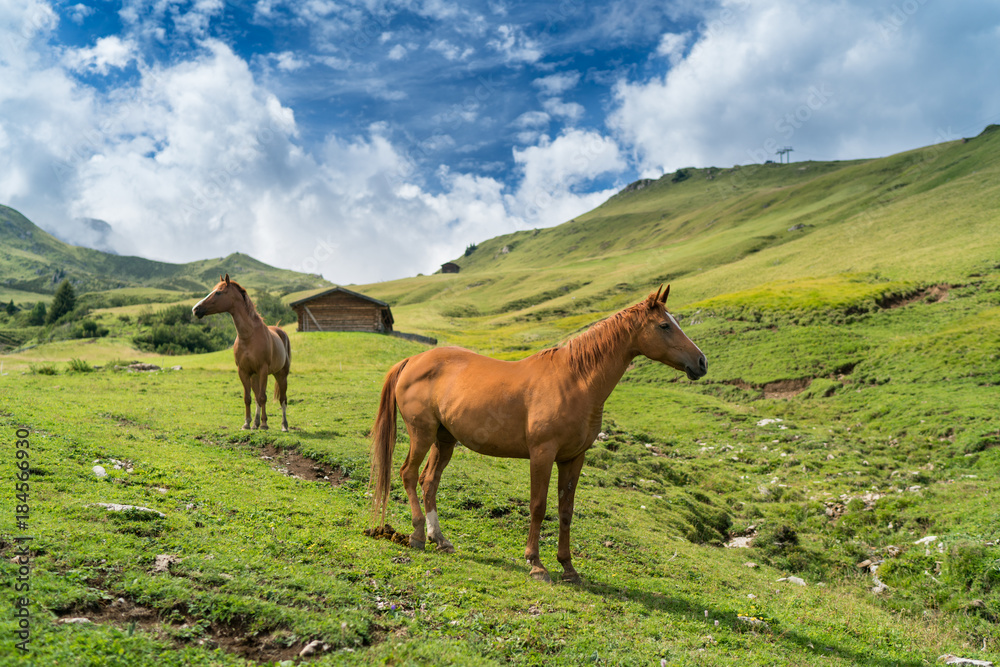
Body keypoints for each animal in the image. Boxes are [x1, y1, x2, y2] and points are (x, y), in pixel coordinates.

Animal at [192, 274, 291, 432]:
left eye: (218, 292)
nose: (195, 309)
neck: (249, 336)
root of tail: (281, 331)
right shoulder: (243, 371)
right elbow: (248, 398)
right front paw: (247, 423)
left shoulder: (263, 370)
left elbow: (263, 397)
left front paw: (264, 424)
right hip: (256, 376)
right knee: (257, 398)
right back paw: (255, 424)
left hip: (281, 375)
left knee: (282, 399)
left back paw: (284, 425)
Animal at [369, 285, 707, 583]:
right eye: (664, 325)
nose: (701, 362)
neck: (575, 380)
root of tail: (412, 361)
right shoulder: (542, 454)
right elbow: (538, 506)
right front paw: (536, 564)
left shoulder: (573, 458)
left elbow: (566, 511)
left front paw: (568, 568)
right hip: (422, 434)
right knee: (409, 474)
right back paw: (416, 535)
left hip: (445, 439)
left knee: (429, 482)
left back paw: (439, 539)